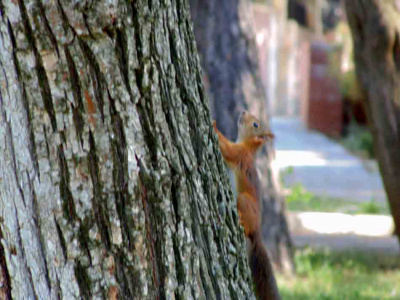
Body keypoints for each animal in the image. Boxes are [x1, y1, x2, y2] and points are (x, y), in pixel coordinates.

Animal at [212, 111, 282, 300]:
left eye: (256, 124)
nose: (243, 112)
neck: (247, 146)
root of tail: (258, 229)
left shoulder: (238, 153)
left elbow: (226, 148)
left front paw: (213, 125)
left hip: (244, 200)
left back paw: (241, 222)